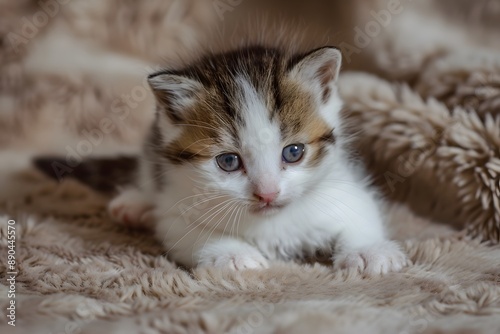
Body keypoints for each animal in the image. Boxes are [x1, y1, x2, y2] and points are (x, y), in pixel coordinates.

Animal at [107, 44, 408, 274]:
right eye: (228, 161)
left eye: (293, 152)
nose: (267, 193)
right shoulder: (175, 209)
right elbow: (188, 232)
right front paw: (233, 255)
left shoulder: (343, 186)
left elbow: (361, 210)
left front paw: (368, 250)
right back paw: (136, 205)